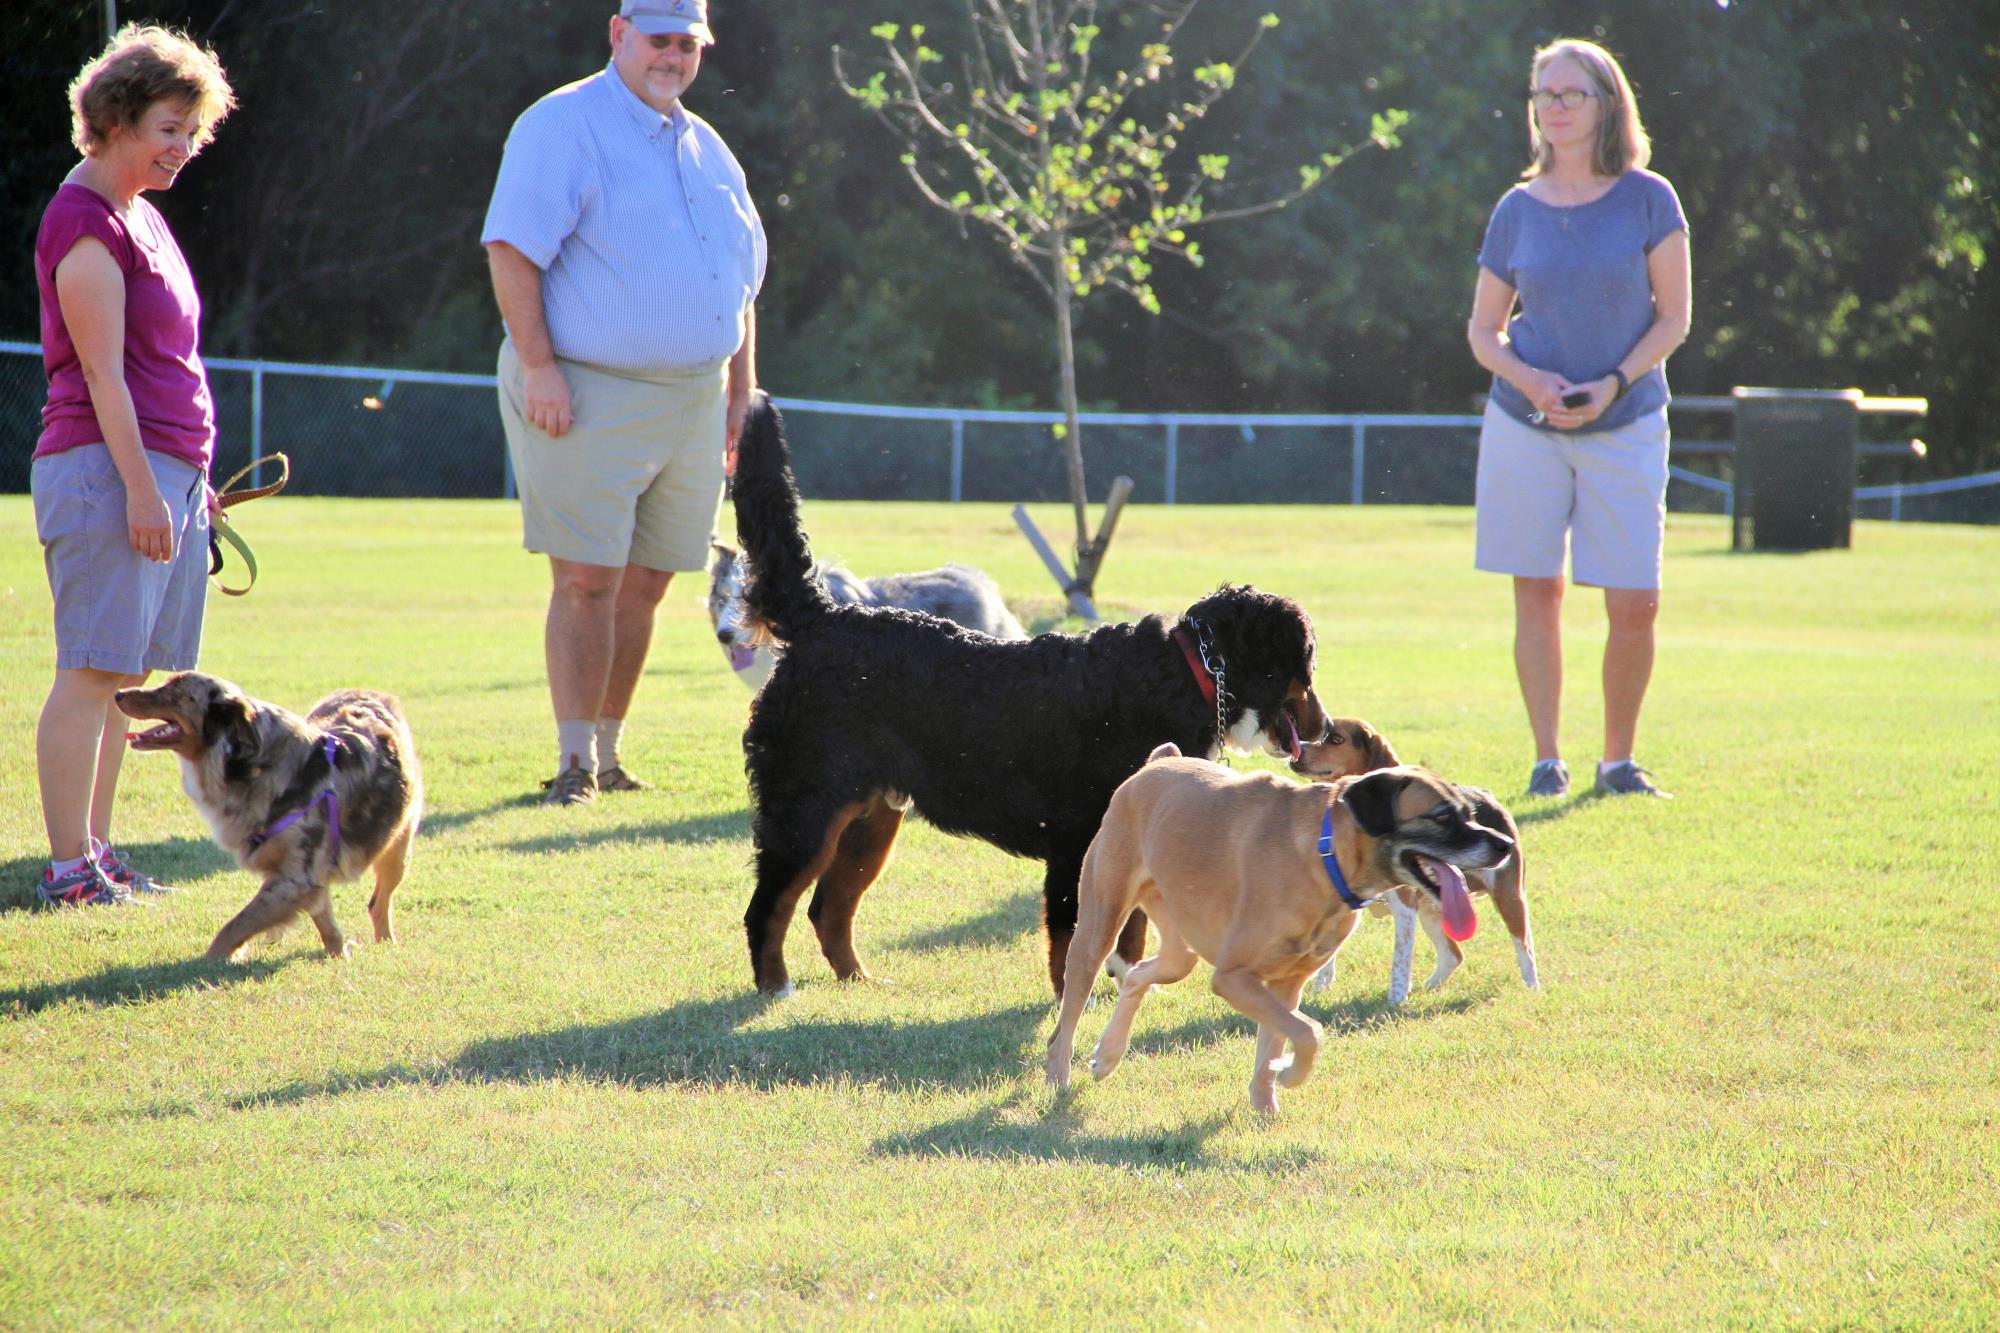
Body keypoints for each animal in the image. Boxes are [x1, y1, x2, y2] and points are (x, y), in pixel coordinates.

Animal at [113, 676, 422, 956]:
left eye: (175, 691)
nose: (117, 693)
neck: (249, 767)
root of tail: (369, 692)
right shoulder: (305, 877)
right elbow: (322, 919)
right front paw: (338, 952)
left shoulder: (296, 877)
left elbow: (235, 927)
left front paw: (208, 964)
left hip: (398, 850)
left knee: (379, 902)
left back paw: (387, 942)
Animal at [736, 394, 1328, 996]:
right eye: (1307, 665)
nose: (1326, 728)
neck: (1187, 674)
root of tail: (825, 616)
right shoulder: (1075, 842)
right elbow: (1074, 941)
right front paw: (1076, 1002)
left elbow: (1131, 933)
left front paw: (1126, 986)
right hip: (806, 812)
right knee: (769, 907)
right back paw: (777, 987)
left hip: (872, 820)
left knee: (830, 907)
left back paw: (860, 982)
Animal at [1288, 716, 1536, 996]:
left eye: (1336, 738)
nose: (1295, 752)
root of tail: (1486, 795)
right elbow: (1327, 958)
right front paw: (1321, 987)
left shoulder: (1405, 909)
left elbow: (1400, 962)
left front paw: (1396, 999)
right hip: (1433, 909)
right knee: (1453, 955)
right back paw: (1430, 987)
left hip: (1509, 897)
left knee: (1524, 947)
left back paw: (1532, 988)